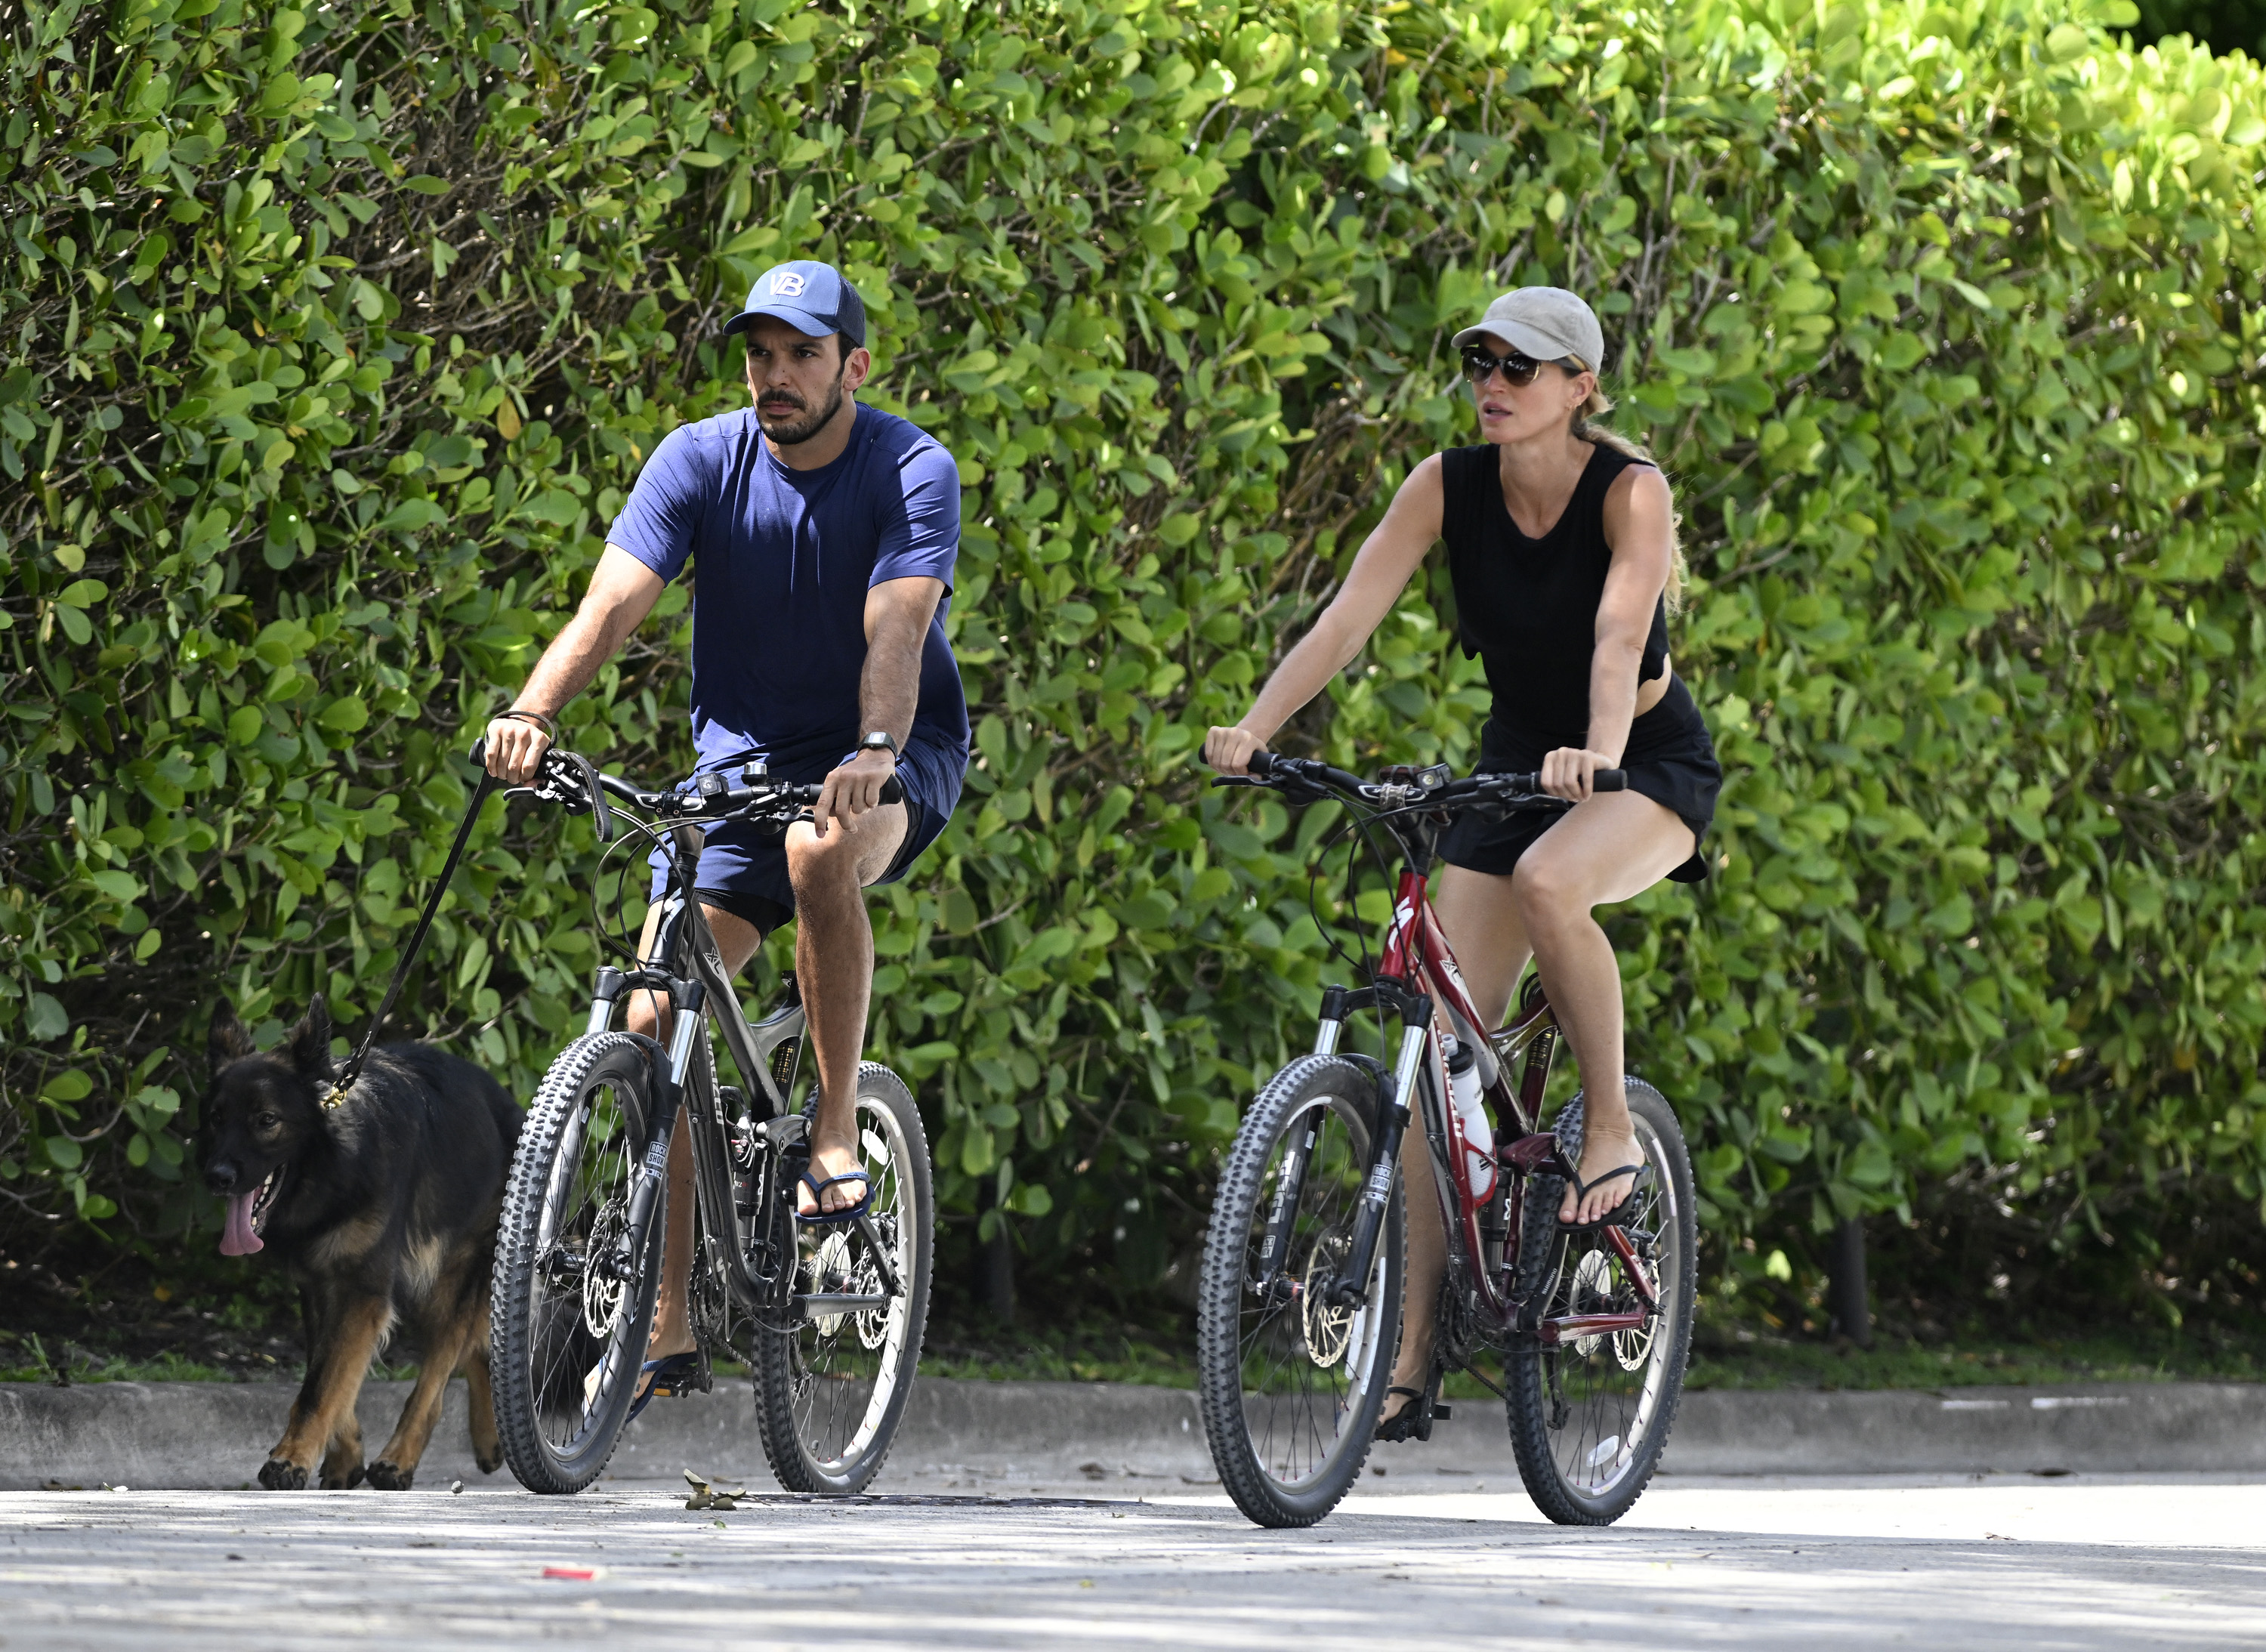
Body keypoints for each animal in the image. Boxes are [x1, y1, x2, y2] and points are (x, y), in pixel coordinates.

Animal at [200, 997, 521, 1487]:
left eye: (267, 1121)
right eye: (217, 1119)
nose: (216, 1178)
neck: (337, 1167)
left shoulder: (362, 1291)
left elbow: (321, 1385)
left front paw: (291, 1458)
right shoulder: (321, 1287)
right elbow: (331, 1374)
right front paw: (344, 1454)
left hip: (457, 1279)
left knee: (438, 1376)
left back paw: (399, 1459)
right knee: (477, 1347)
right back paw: (487, 1438)